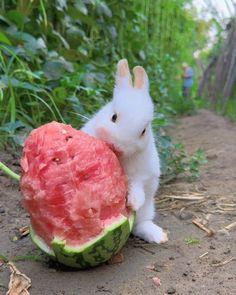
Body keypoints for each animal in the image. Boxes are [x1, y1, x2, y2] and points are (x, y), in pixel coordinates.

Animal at [82, 59, 167, 244]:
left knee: (140, 225)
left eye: (143, 131)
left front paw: (133, 202)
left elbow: (138, 185)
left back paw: (158, 236)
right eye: (113, 117)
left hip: (147, 210)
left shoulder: (143, 174)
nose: (117, 147)